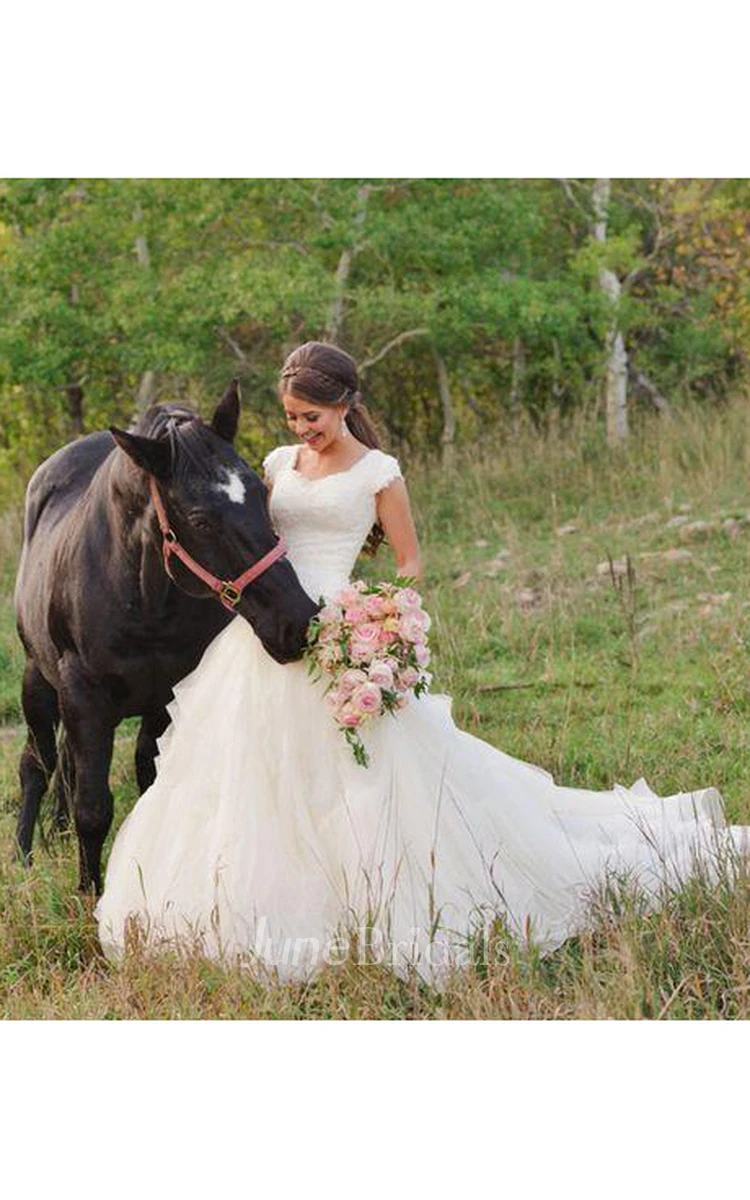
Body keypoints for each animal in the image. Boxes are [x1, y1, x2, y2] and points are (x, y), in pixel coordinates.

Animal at [15, 381, 312, 892]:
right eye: (200, 519)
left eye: (260, 491)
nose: (296, 620)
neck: (142, 601)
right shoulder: (84, 699)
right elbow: (93, 808)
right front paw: (89, 892)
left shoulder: (166, 698)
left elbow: (148, 782)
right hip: (39, 681)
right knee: (37, 763)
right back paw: (23, 856)